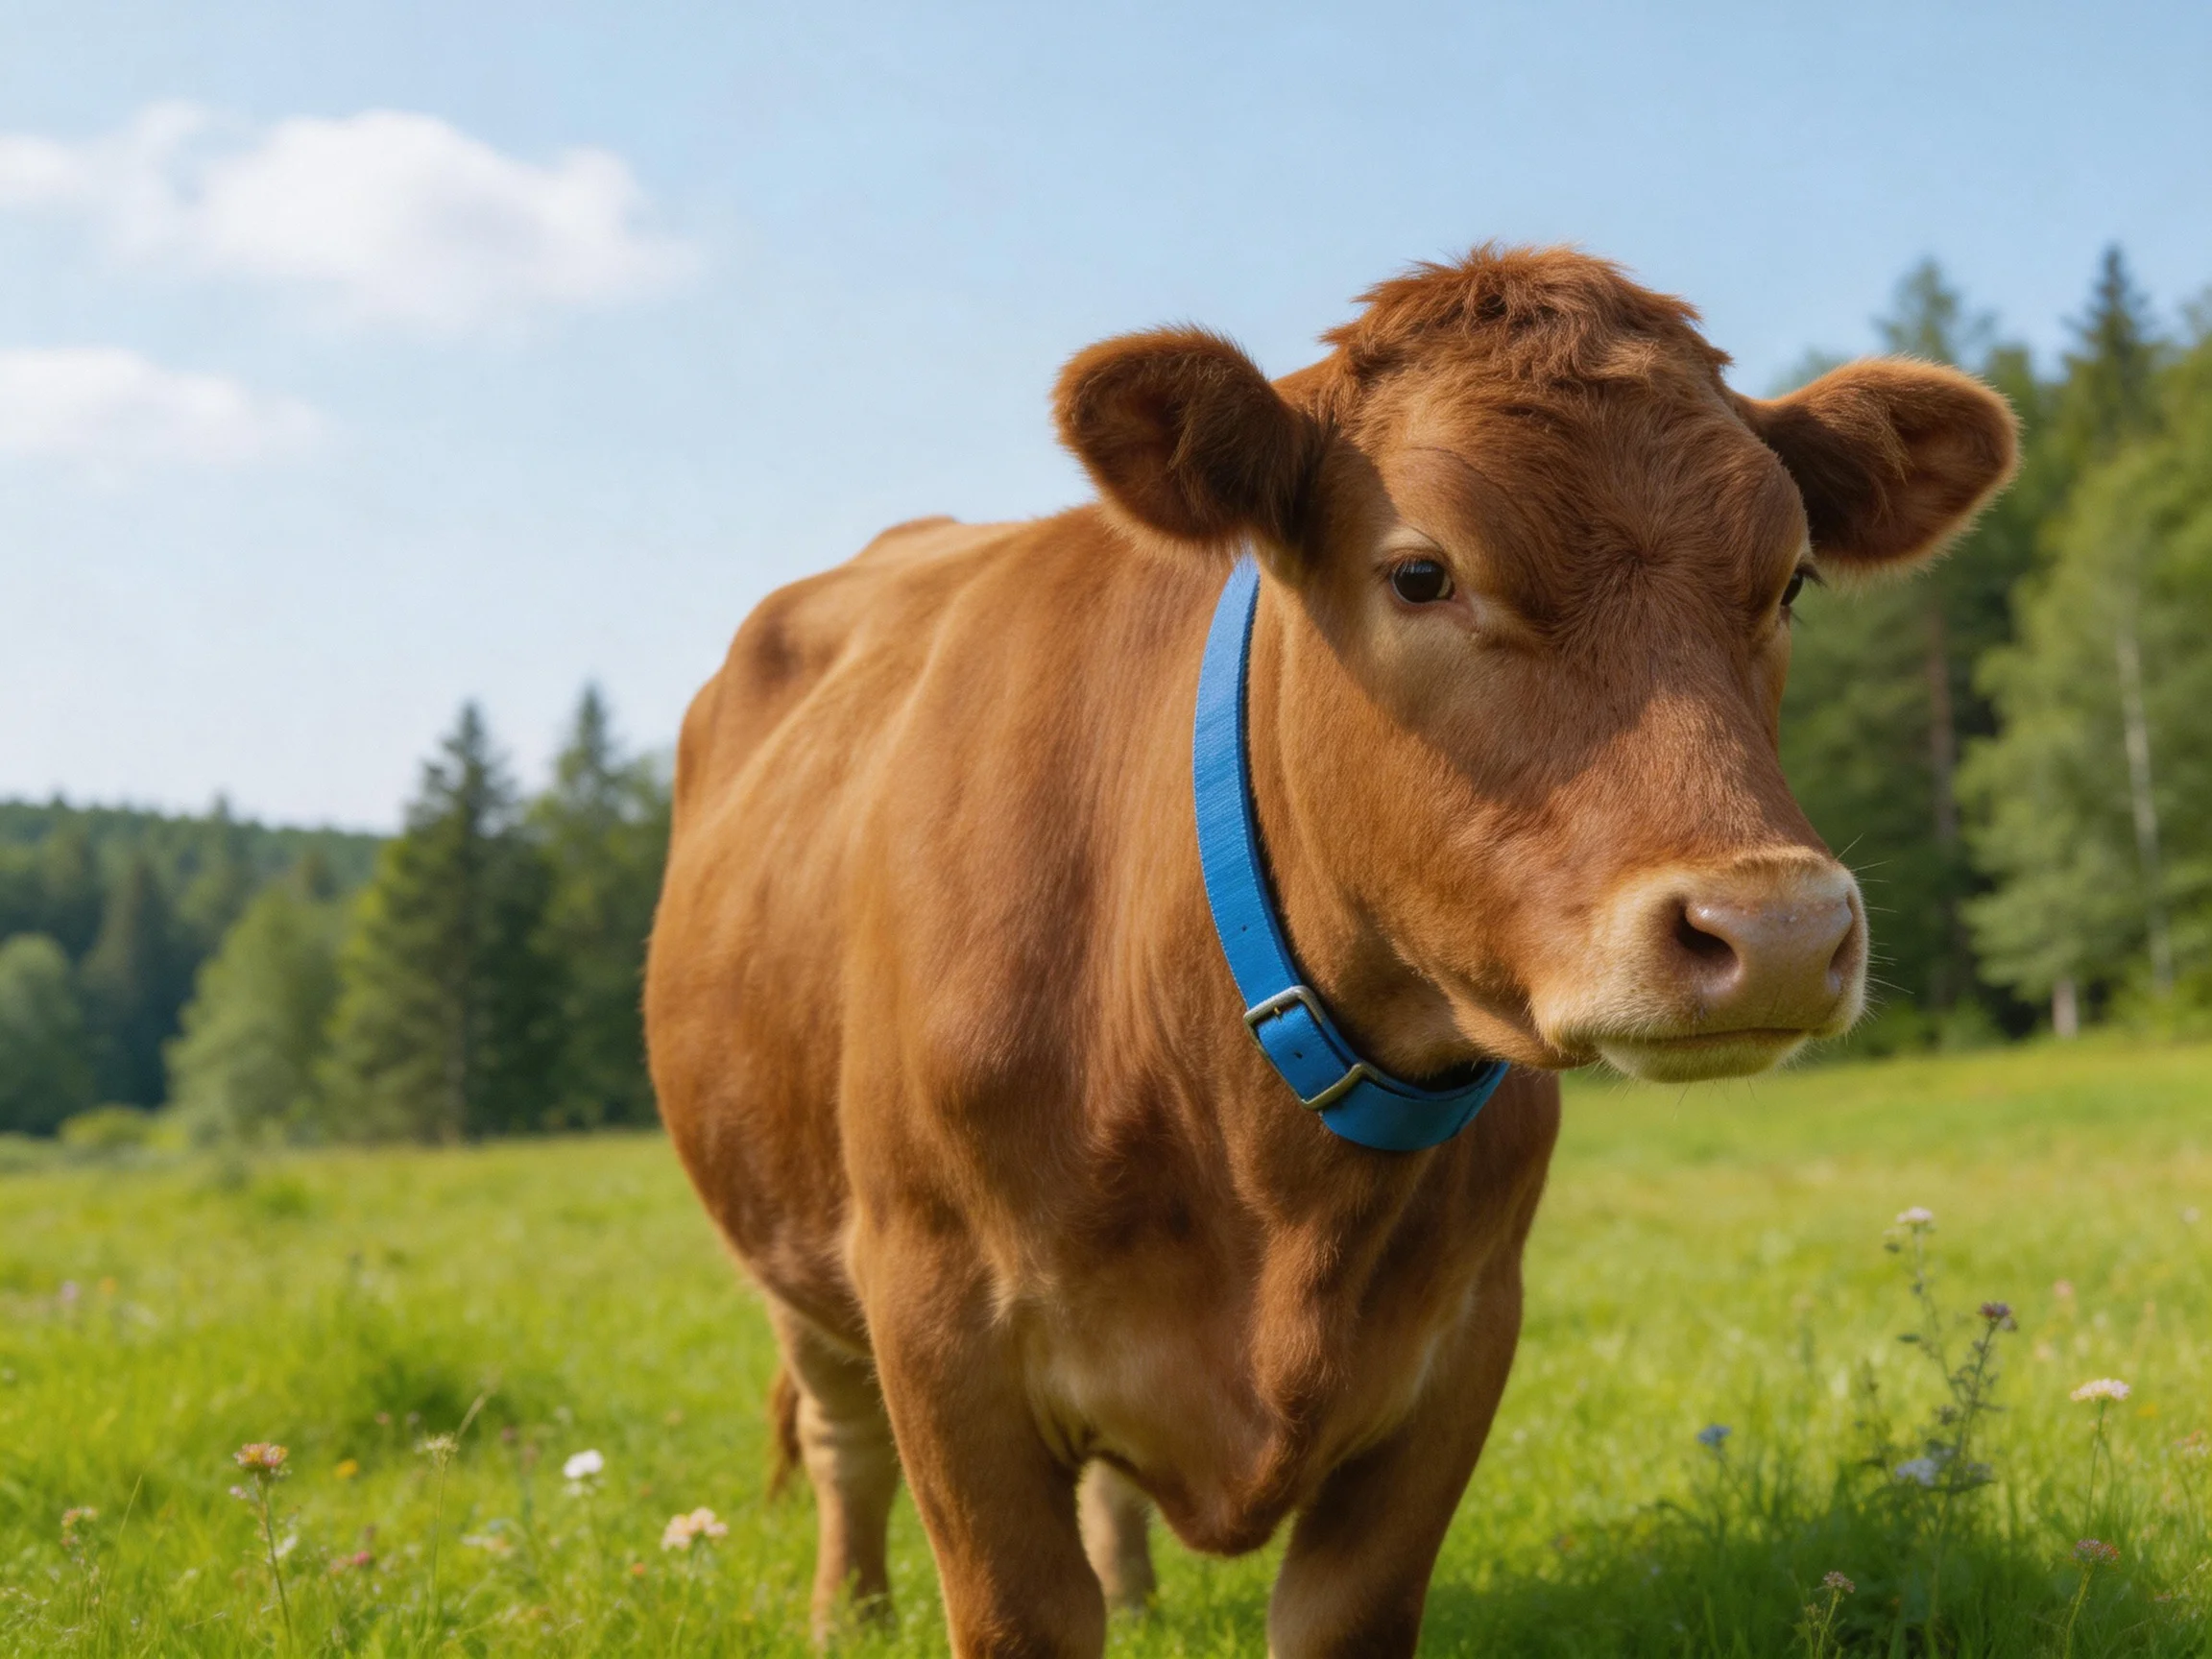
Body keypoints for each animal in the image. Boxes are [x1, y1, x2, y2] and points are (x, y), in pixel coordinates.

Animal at [644, 246, 2016, 1658]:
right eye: (1421, 573)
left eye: (1790, 580)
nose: (1779, 930)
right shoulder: (937, 1317)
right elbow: (1016, 1606)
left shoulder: (1463, 1339)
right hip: (793, 1253)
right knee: (838, 1440)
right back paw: (846, 1619)